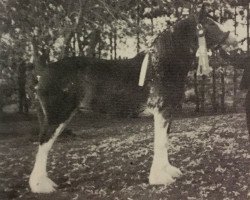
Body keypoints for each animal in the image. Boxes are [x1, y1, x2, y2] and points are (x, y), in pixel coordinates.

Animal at [28, 5, 237, 193]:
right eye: (209, 24)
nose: (234, 39)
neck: (161, 64)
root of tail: (42, 74)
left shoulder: (168, 113)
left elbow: (165, 141)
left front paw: (169, 171)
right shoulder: (162, 112)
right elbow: (160, 142)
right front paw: (159, 178)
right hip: (57, 116)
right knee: (43, 145)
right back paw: (41, 186)